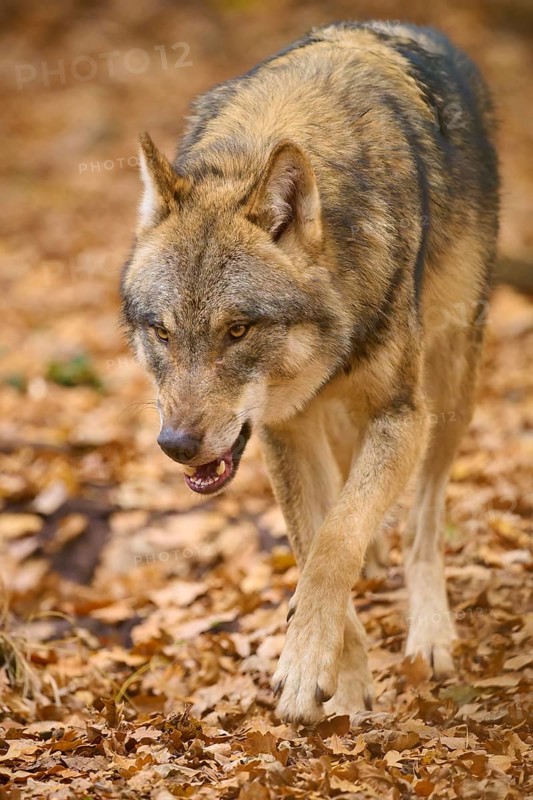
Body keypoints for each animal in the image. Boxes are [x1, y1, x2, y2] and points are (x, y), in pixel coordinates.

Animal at [121, 21, 499, 724]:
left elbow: (335, 543)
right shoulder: (283, 430)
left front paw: (305, 665)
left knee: (425, 519)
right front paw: (340, 685)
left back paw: (431, 633)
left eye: (237, 330)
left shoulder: (400, 415)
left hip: (450, 385)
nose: (176, 445)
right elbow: (314, 541)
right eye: (161, 331)